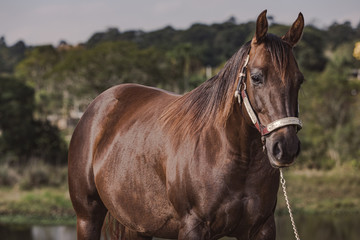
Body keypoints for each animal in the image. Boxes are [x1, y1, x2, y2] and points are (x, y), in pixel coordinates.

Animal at [67, 9, 304, 240]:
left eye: (299, 80)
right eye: (256, 77)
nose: (285, 147)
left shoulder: (262, 229)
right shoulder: (193, 227)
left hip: (138, 226)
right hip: (87, 218)